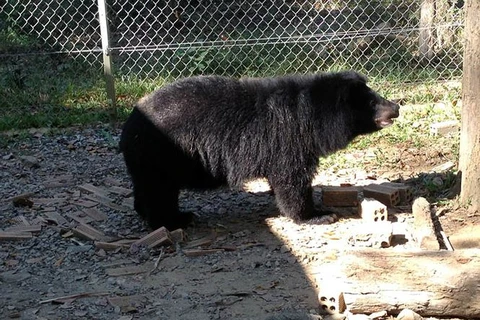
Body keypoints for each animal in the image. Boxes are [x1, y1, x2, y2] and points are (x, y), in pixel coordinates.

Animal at [120, 70, 402, 230]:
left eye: (377, 96)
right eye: (372, 102)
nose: (396, 107)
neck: (310, 117)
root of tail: (129, 126)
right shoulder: (287, 140)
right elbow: (291, 181)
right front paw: (318, 215)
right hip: (160, 155)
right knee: (160, 192)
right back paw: (175, 220)